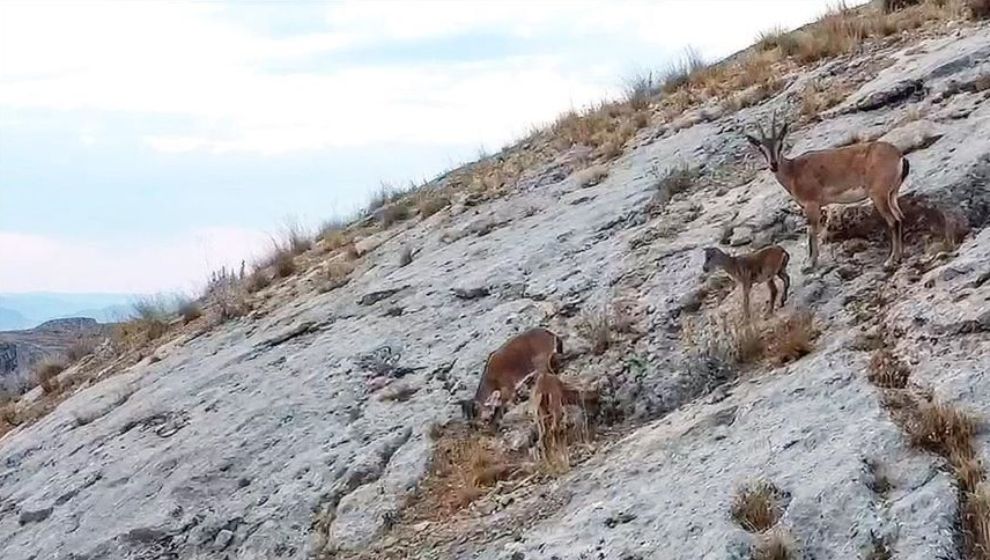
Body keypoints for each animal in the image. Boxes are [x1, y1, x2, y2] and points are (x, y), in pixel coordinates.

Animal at [748, 114, 912, 270]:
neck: (794, 171)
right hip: (892, 194)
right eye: (761, 149)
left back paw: (890, 261)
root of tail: (899, 156)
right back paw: (898, 257)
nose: (774, 165)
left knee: (893, 220)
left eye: (780, 145)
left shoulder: (811, 204)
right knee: (900, 217)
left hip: (879, 195)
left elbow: (811, 231)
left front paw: (810, 263)